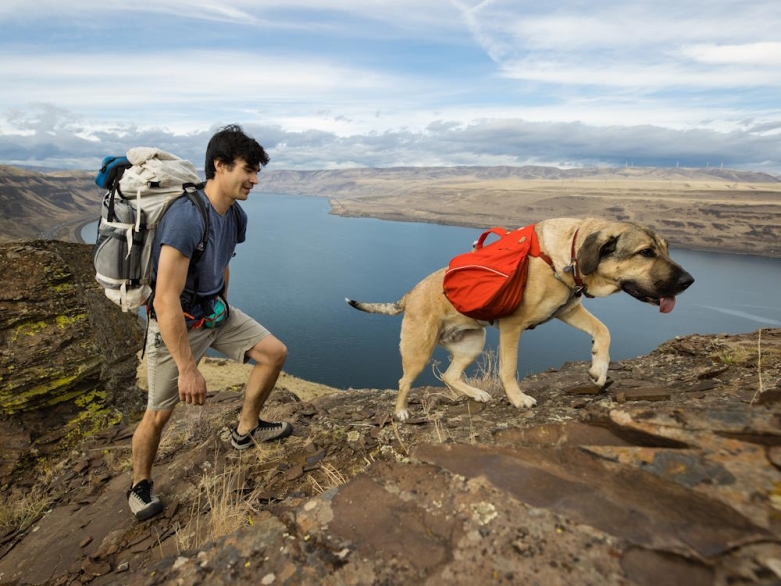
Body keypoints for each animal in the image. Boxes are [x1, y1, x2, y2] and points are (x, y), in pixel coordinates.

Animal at [348, 217, 696, 418]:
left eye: (666, 248)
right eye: (646, 252)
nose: (689, 281)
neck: (564, 256)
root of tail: (409, 295)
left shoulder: (568, 310)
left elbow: (604, 330)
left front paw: (599, 368)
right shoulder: (512, 327)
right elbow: (508, 369)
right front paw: (517, 399)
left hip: (472, 342)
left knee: (450, 376)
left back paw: (476, 393)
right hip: (419, 349)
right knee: (404, 381)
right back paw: (401, 412)